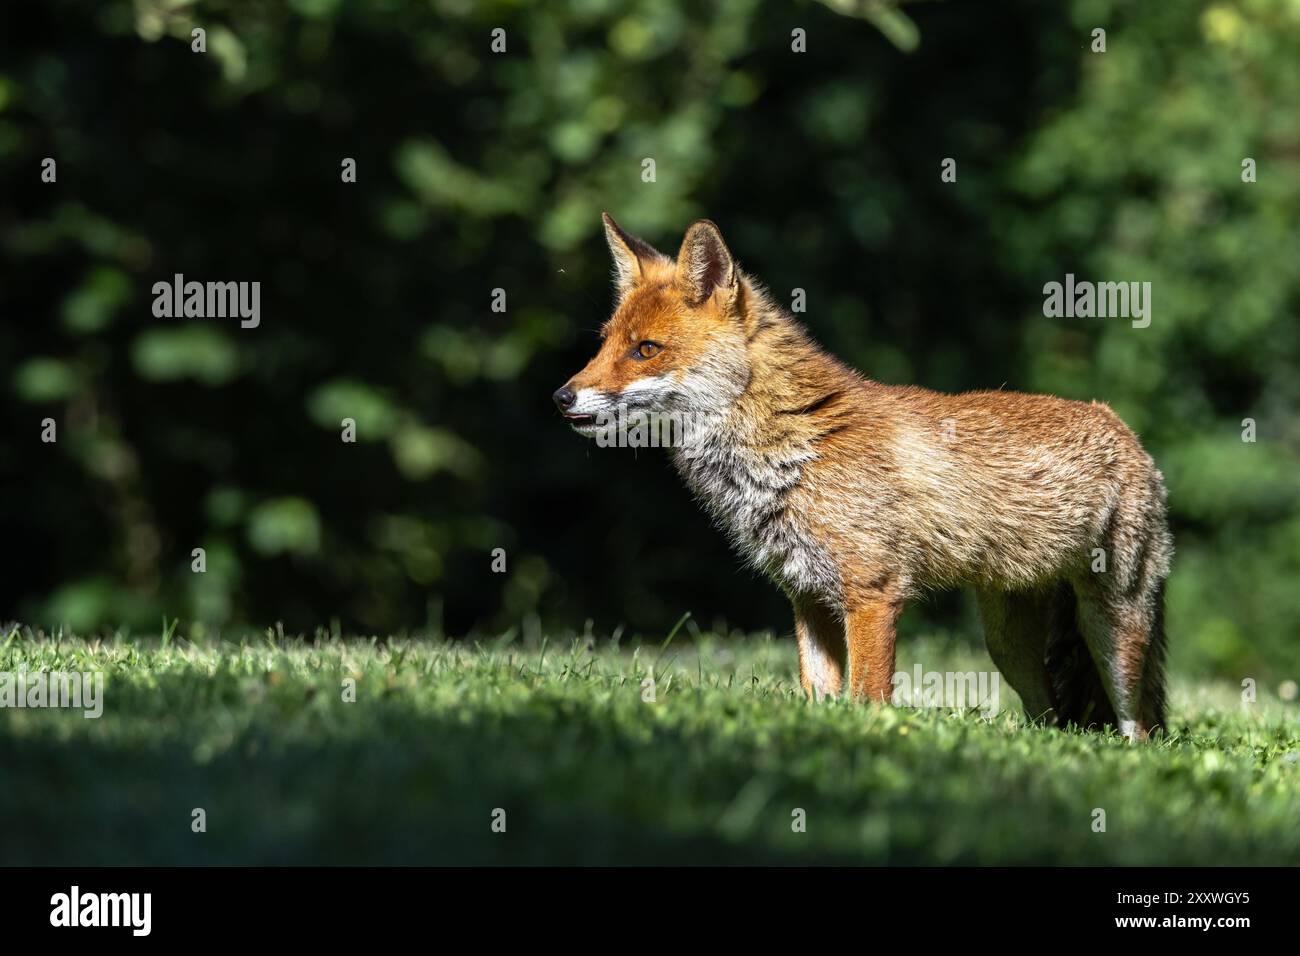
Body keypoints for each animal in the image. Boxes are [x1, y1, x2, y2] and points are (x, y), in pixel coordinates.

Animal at [553, 217, 1175, 738]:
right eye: (604, 344)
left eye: (646, 349)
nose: (561, 397)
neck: (794, 446)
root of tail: (1121, 424)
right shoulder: (807, 595)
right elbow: (819, 693)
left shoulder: (872, 594)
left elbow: (867, 698)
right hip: (1008, 647)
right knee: (1052, 719)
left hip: (1114, 628)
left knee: (1138, 725)